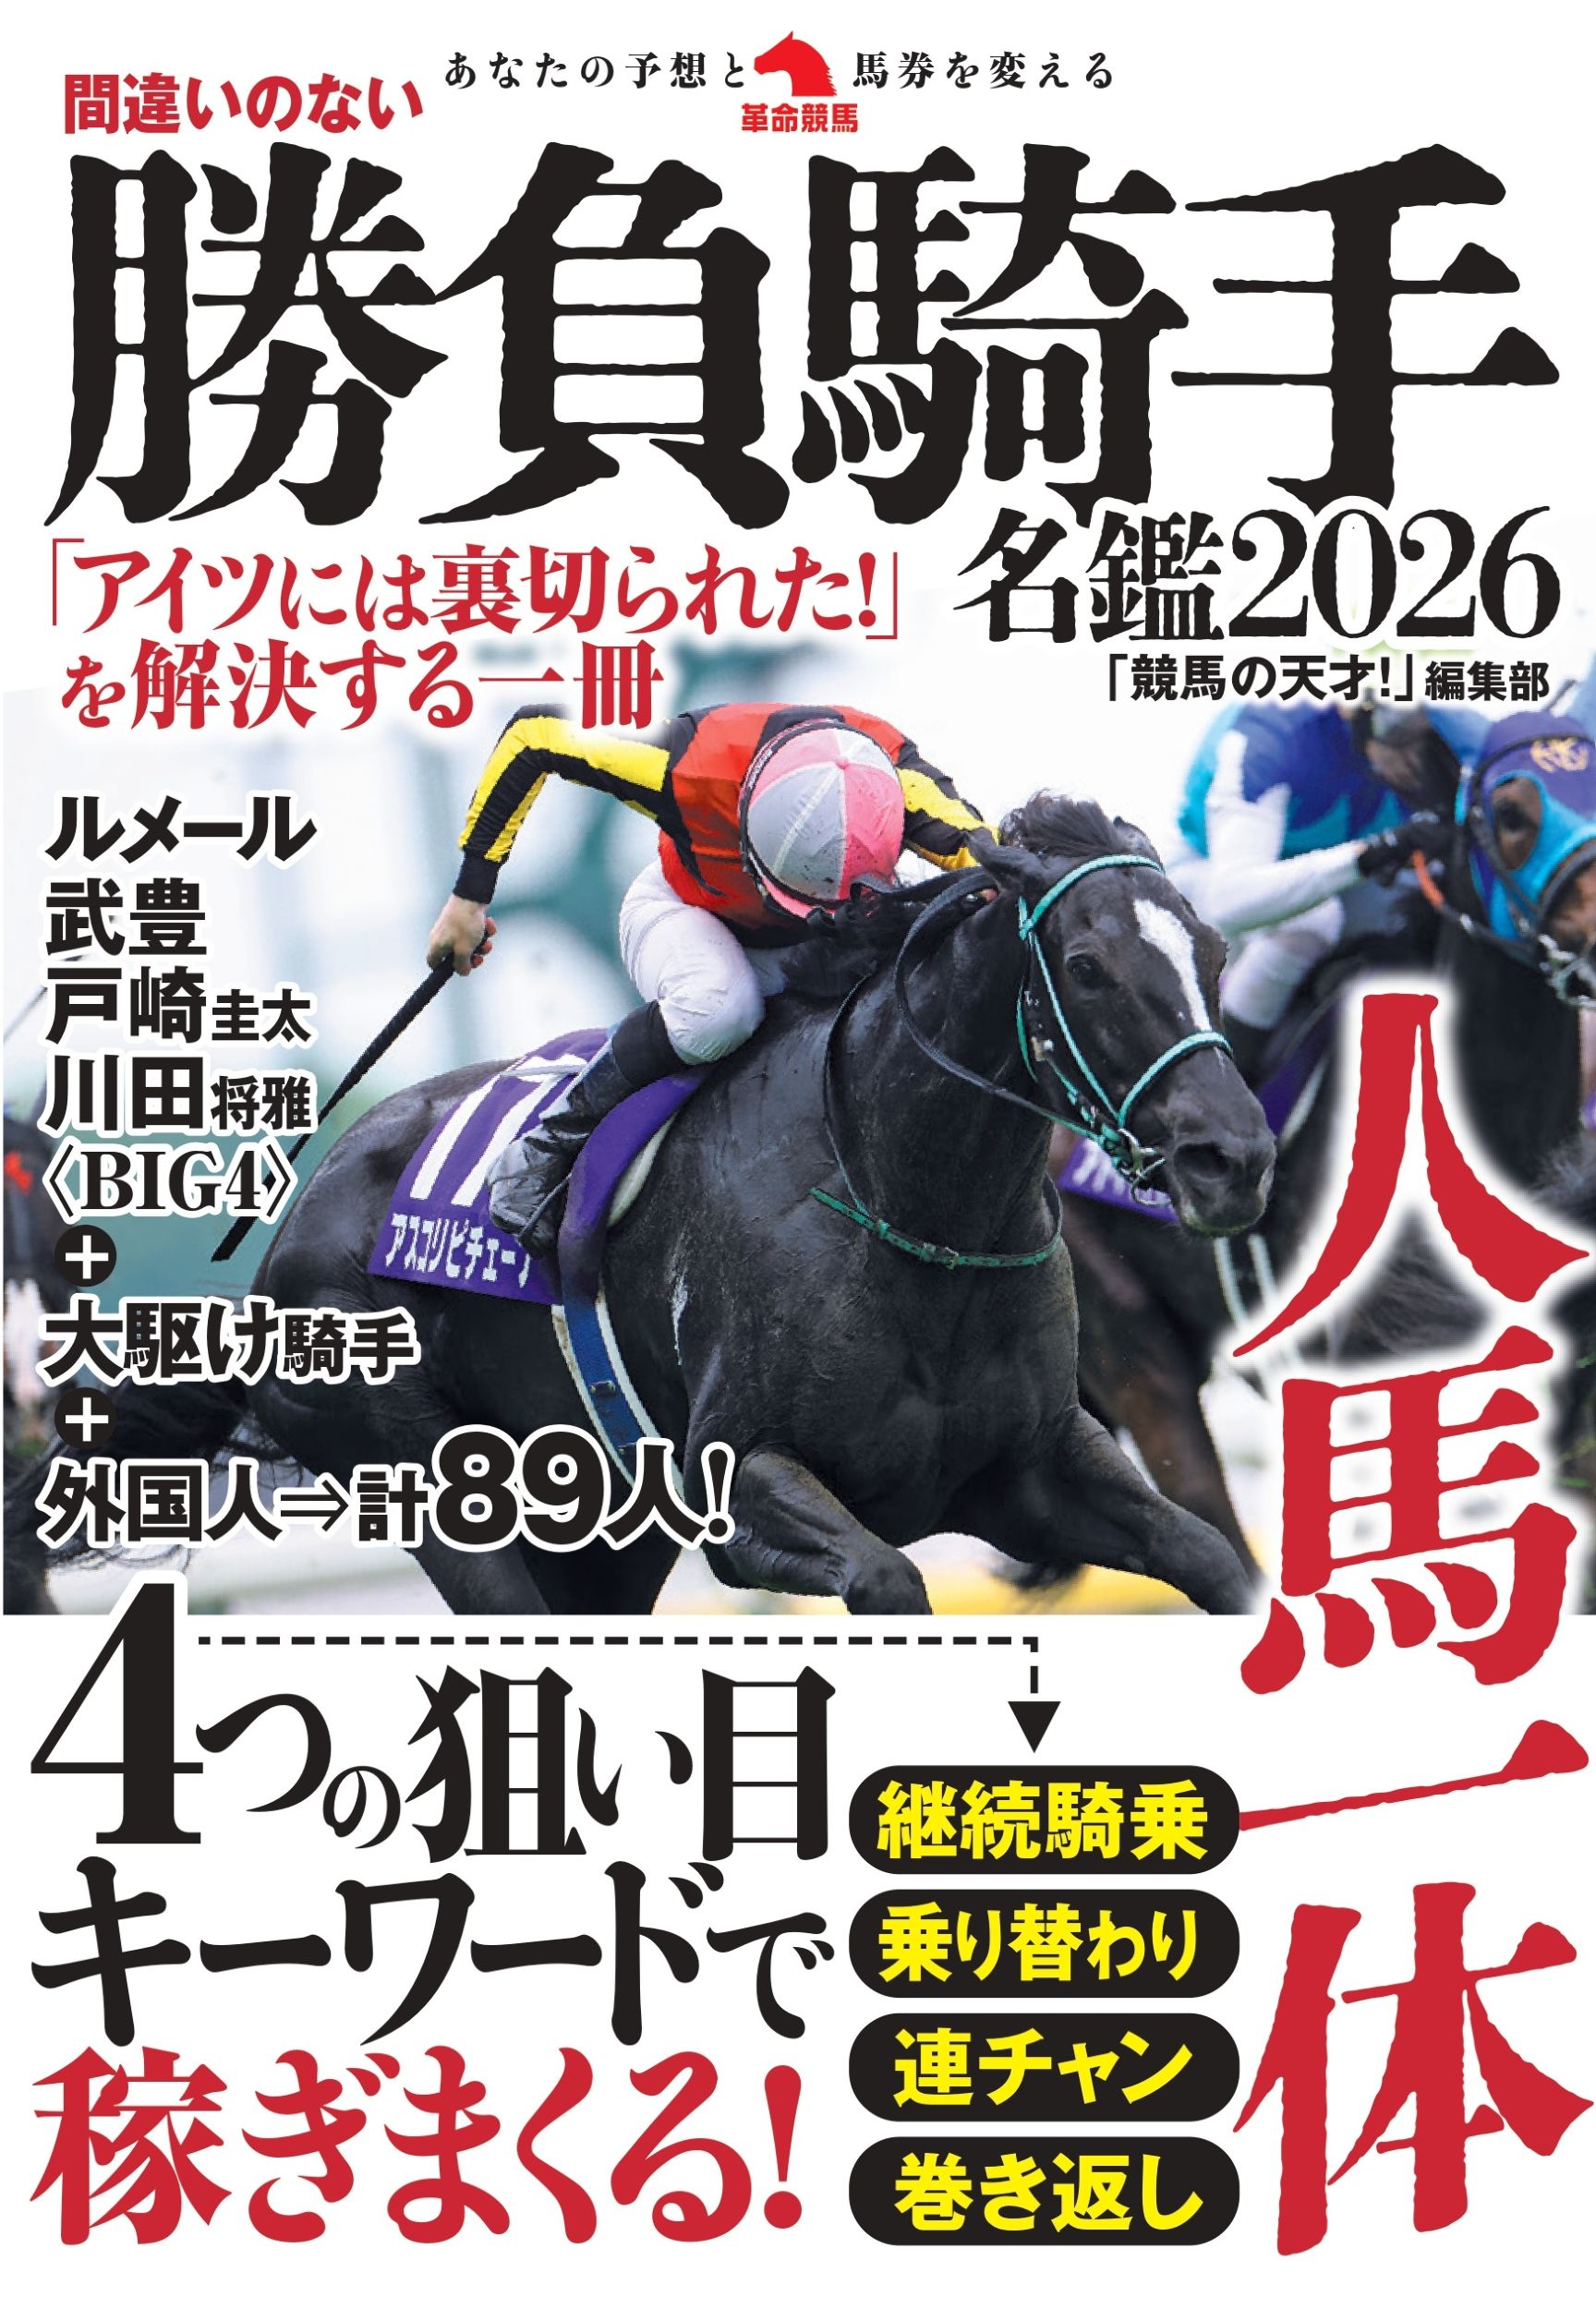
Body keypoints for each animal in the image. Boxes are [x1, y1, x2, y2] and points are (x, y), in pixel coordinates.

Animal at [5, 798, 1275, 1618]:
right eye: (1088, 964)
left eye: (1213, 950)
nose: (1236, 1157)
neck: (903, 1200)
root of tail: (277, 1257)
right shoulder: (739, 1489)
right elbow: (886, 1575)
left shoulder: (1034, 1465)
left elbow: (1220, 1565)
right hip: (433, 1486)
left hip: (597, 1540)